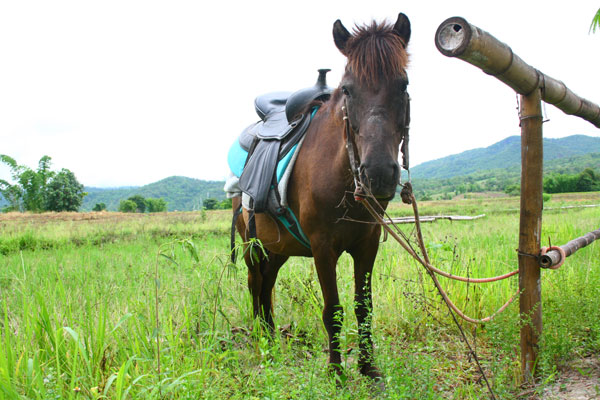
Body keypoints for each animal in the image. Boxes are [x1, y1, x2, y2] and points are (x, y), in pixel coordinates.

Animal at [232, 13, 410, 382]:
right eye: (348, 89)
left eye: (403, 85)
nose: (378, 174)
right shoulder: (322, 247)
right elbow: (334, 310)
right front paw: (336, 372)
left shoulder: (368, 243)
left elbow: (363, 306)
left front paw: (368, 367)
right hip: (251, 245)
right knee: (254, 282)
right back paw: (261, 339)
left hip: (278, 248)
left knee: (267, 283)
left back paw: (271, 335)